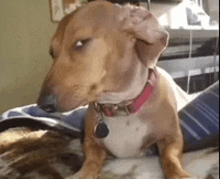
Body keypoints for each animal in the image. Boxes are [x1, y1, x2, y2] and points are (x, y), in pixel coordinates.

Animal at [38, 1, 192, 179]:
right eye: (52, 53)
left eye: (80, 42)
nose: (43, 104)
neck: (119, 106)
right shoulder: (90, 142)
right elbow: (91, 160)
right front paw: (83, 172)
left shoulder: (172, 138)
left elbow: (169, 157)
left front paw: (178, 174)